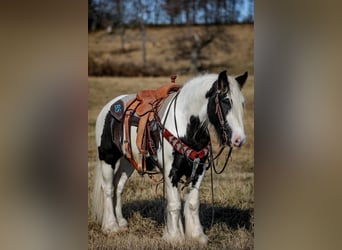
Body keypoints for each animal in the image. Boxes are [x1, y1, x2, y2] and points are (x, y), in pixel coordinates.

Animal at [93, 70, 248, 244]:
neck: (187, 127)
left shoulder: (198, 170)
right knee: (108, 188)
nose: (239, 139)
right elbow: (174, 204)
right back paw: (110, 227)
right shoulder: (170, 171)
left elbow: (192, 203)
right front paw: (174, 237)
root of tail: (110, 106)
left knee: (118, 187)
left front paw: (196, 236)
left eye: (242, 103)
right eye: (226, 101)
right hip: (108, 157)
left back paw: (121, 222)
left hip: (128, 162)